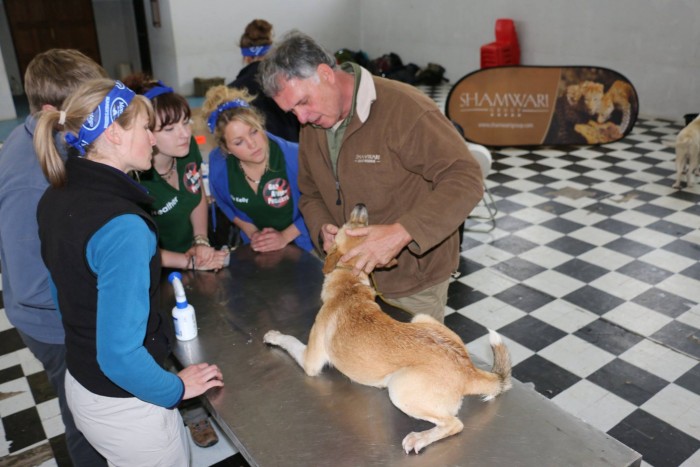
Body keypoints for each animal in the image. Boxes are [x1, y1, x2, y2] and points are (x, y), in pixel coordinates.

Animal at [262, 204, 508, 454]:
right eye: (360, 225)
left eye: (348, 226)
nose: (360, 205)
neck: (349, 284)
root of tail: (468, 370)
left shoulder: (310, 361)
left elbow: (290, 340)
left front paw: (274, 335)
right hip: (421, 318)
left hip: (398, 388)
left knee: (454, 424)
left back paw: (419, 438)